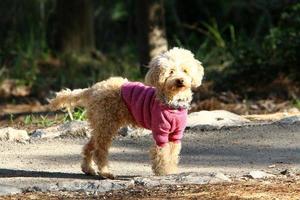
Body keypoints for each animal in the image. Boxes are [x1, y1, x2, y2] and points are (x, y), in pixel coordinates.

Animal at [50, 47, 204, 178]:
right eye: (171, 71)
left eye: (185, 70)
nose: (180, 80)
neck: (172, 102)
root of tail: (93, 89)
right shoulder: (161, 132)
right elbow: (162, 154)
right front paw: (163, 171)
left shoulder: (175, 134)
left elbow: (172, 154)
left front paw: (171, 170)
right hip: (106, 123)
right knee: (100, 151)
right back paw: (105, 173)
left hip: (101, 124)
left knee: (90, 146)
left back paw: (88, 169)